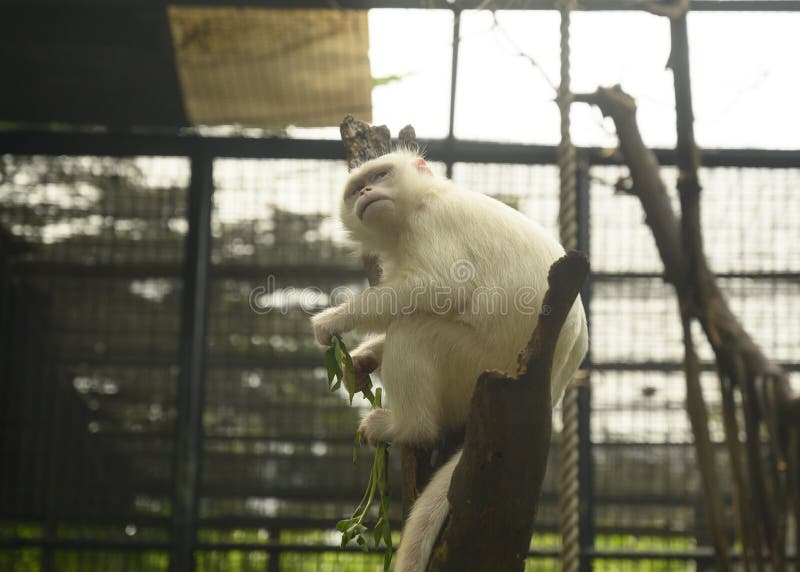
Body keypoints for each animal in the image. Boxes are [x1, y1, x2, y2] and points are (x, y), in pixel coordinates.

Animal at [312, 152, 588, 572]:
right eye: (356, 188)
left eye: (380, 175)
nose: (367, 191)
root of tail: (552, 381)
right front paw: (359, 361)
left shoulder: (431, 222)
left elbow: (440, 287)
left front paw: (333, 320)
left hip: (473, 364)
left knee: (414, 328)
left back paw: (409, 428)